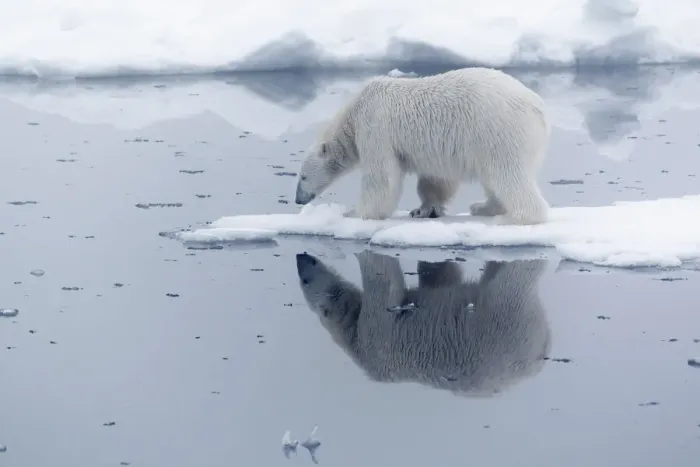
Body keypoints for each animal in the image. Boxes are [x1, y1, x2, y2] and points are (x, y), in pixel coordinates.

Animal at [294, 67, 551, 225]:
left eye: (303, 176)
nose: (298, 200)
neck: (354, 113)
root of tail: (538, 106)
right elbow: (435, 179)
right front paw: (423, 210)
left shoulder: (375, 129)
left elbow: (381, 178)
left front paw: (354, 212)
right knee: (493, 177)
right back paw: (484, 206)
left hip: (498, 130)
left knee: (507, 174)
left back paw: (517, 217)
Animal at [295, 251, 551, 396]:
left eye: (304, 281)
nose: (301, 259)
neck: (354, 341)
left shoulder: (375, 337)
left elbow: (385, 284)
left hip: (504, 322)